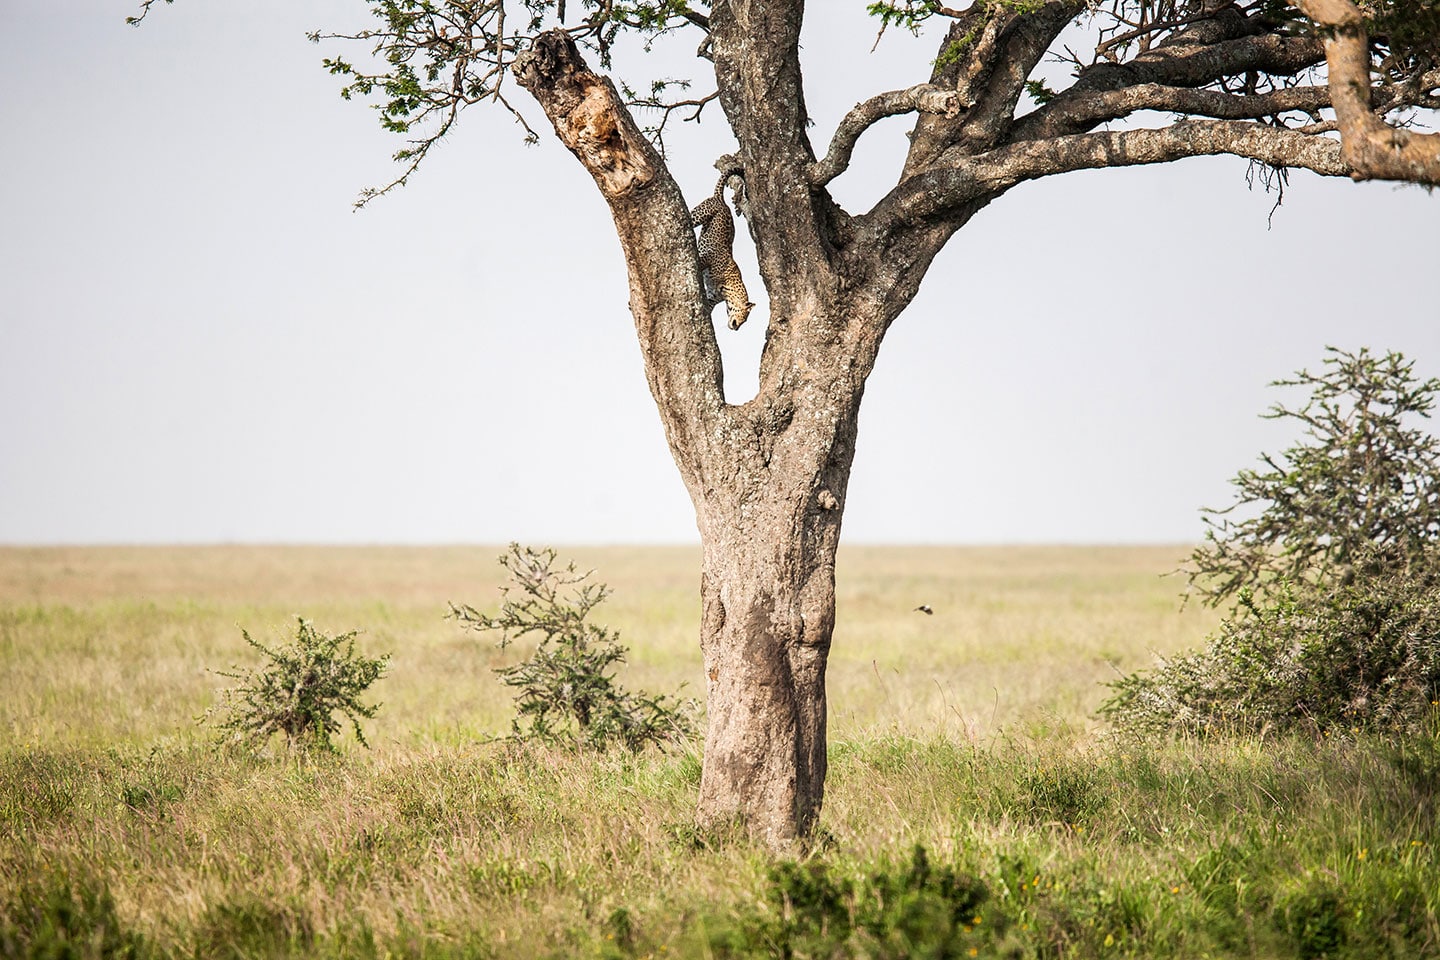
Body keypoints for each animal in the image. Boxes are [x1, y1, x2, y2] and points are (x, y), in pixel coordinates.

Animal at [690, 171, 754, 331]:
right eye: (744, 316)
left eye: (745, 321)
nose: (737, 328)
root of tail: (722, 200)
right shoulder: (708, 258)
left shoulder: (711, 298)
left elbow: (707, 307)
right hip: (700, 213)